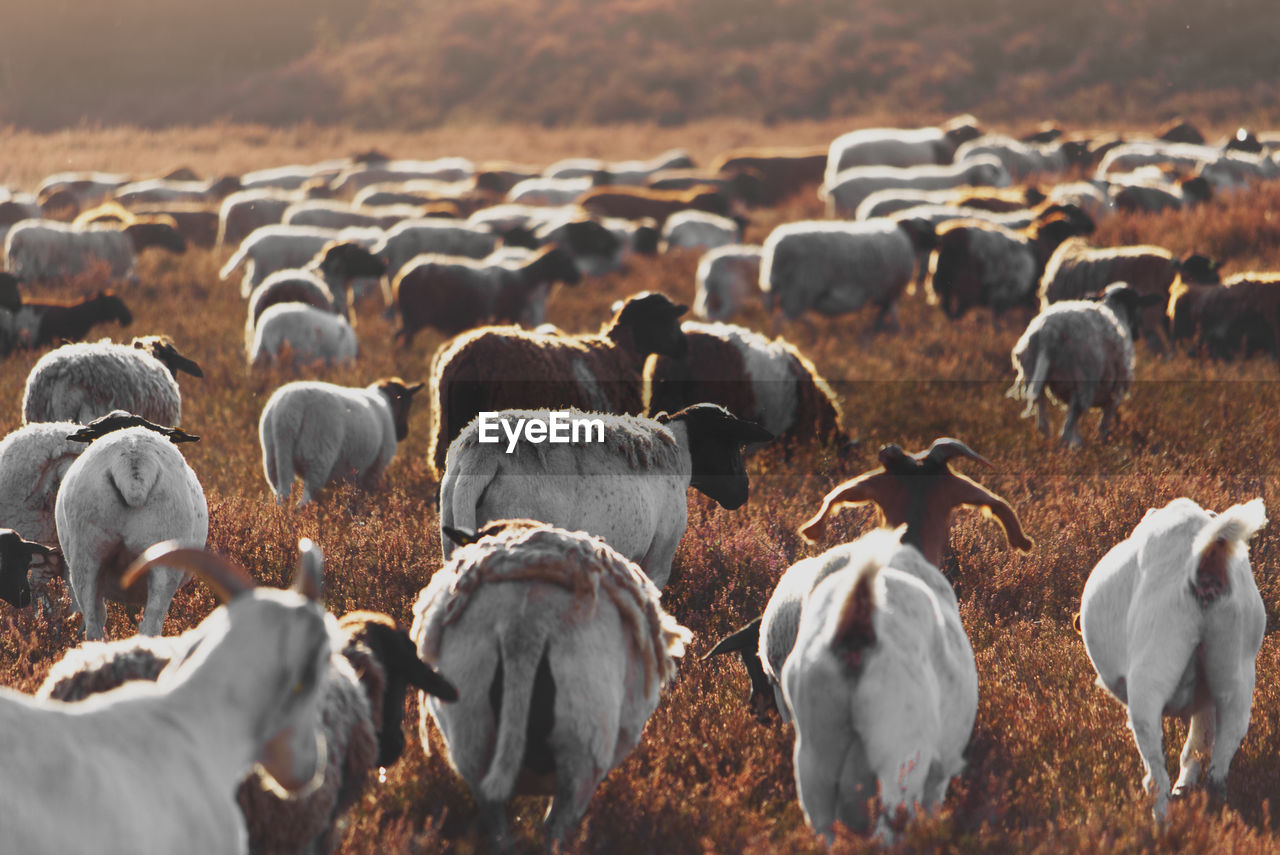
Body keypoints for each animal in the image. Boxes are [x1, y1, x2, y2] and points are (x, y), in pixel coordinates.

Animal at [1080, 496, 1269, 819]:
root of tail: (1205, 562)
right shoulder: (1206, 696)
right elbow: (1199, 741)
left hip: (1151, 674)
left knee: (1157, 776)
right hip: (1234, 669)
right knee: (1220, 760)